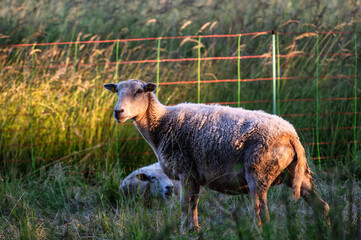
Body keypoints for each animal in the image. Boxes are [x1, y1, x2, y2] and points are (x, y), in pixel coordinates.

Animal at [102, 79, 328, 232]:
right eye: (117, 91)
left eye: (139, 91)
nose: (118, 112)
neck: (161, 123)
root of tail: (291, 136)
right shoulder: (194, 175)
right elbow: (194, 204)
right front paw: (194, 230)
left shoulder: (185, 171)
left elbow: (184, 206)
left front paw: (183, 231)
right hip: (297, 174)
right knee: (321, 206)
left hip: (259, 173)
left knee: (262, 214)